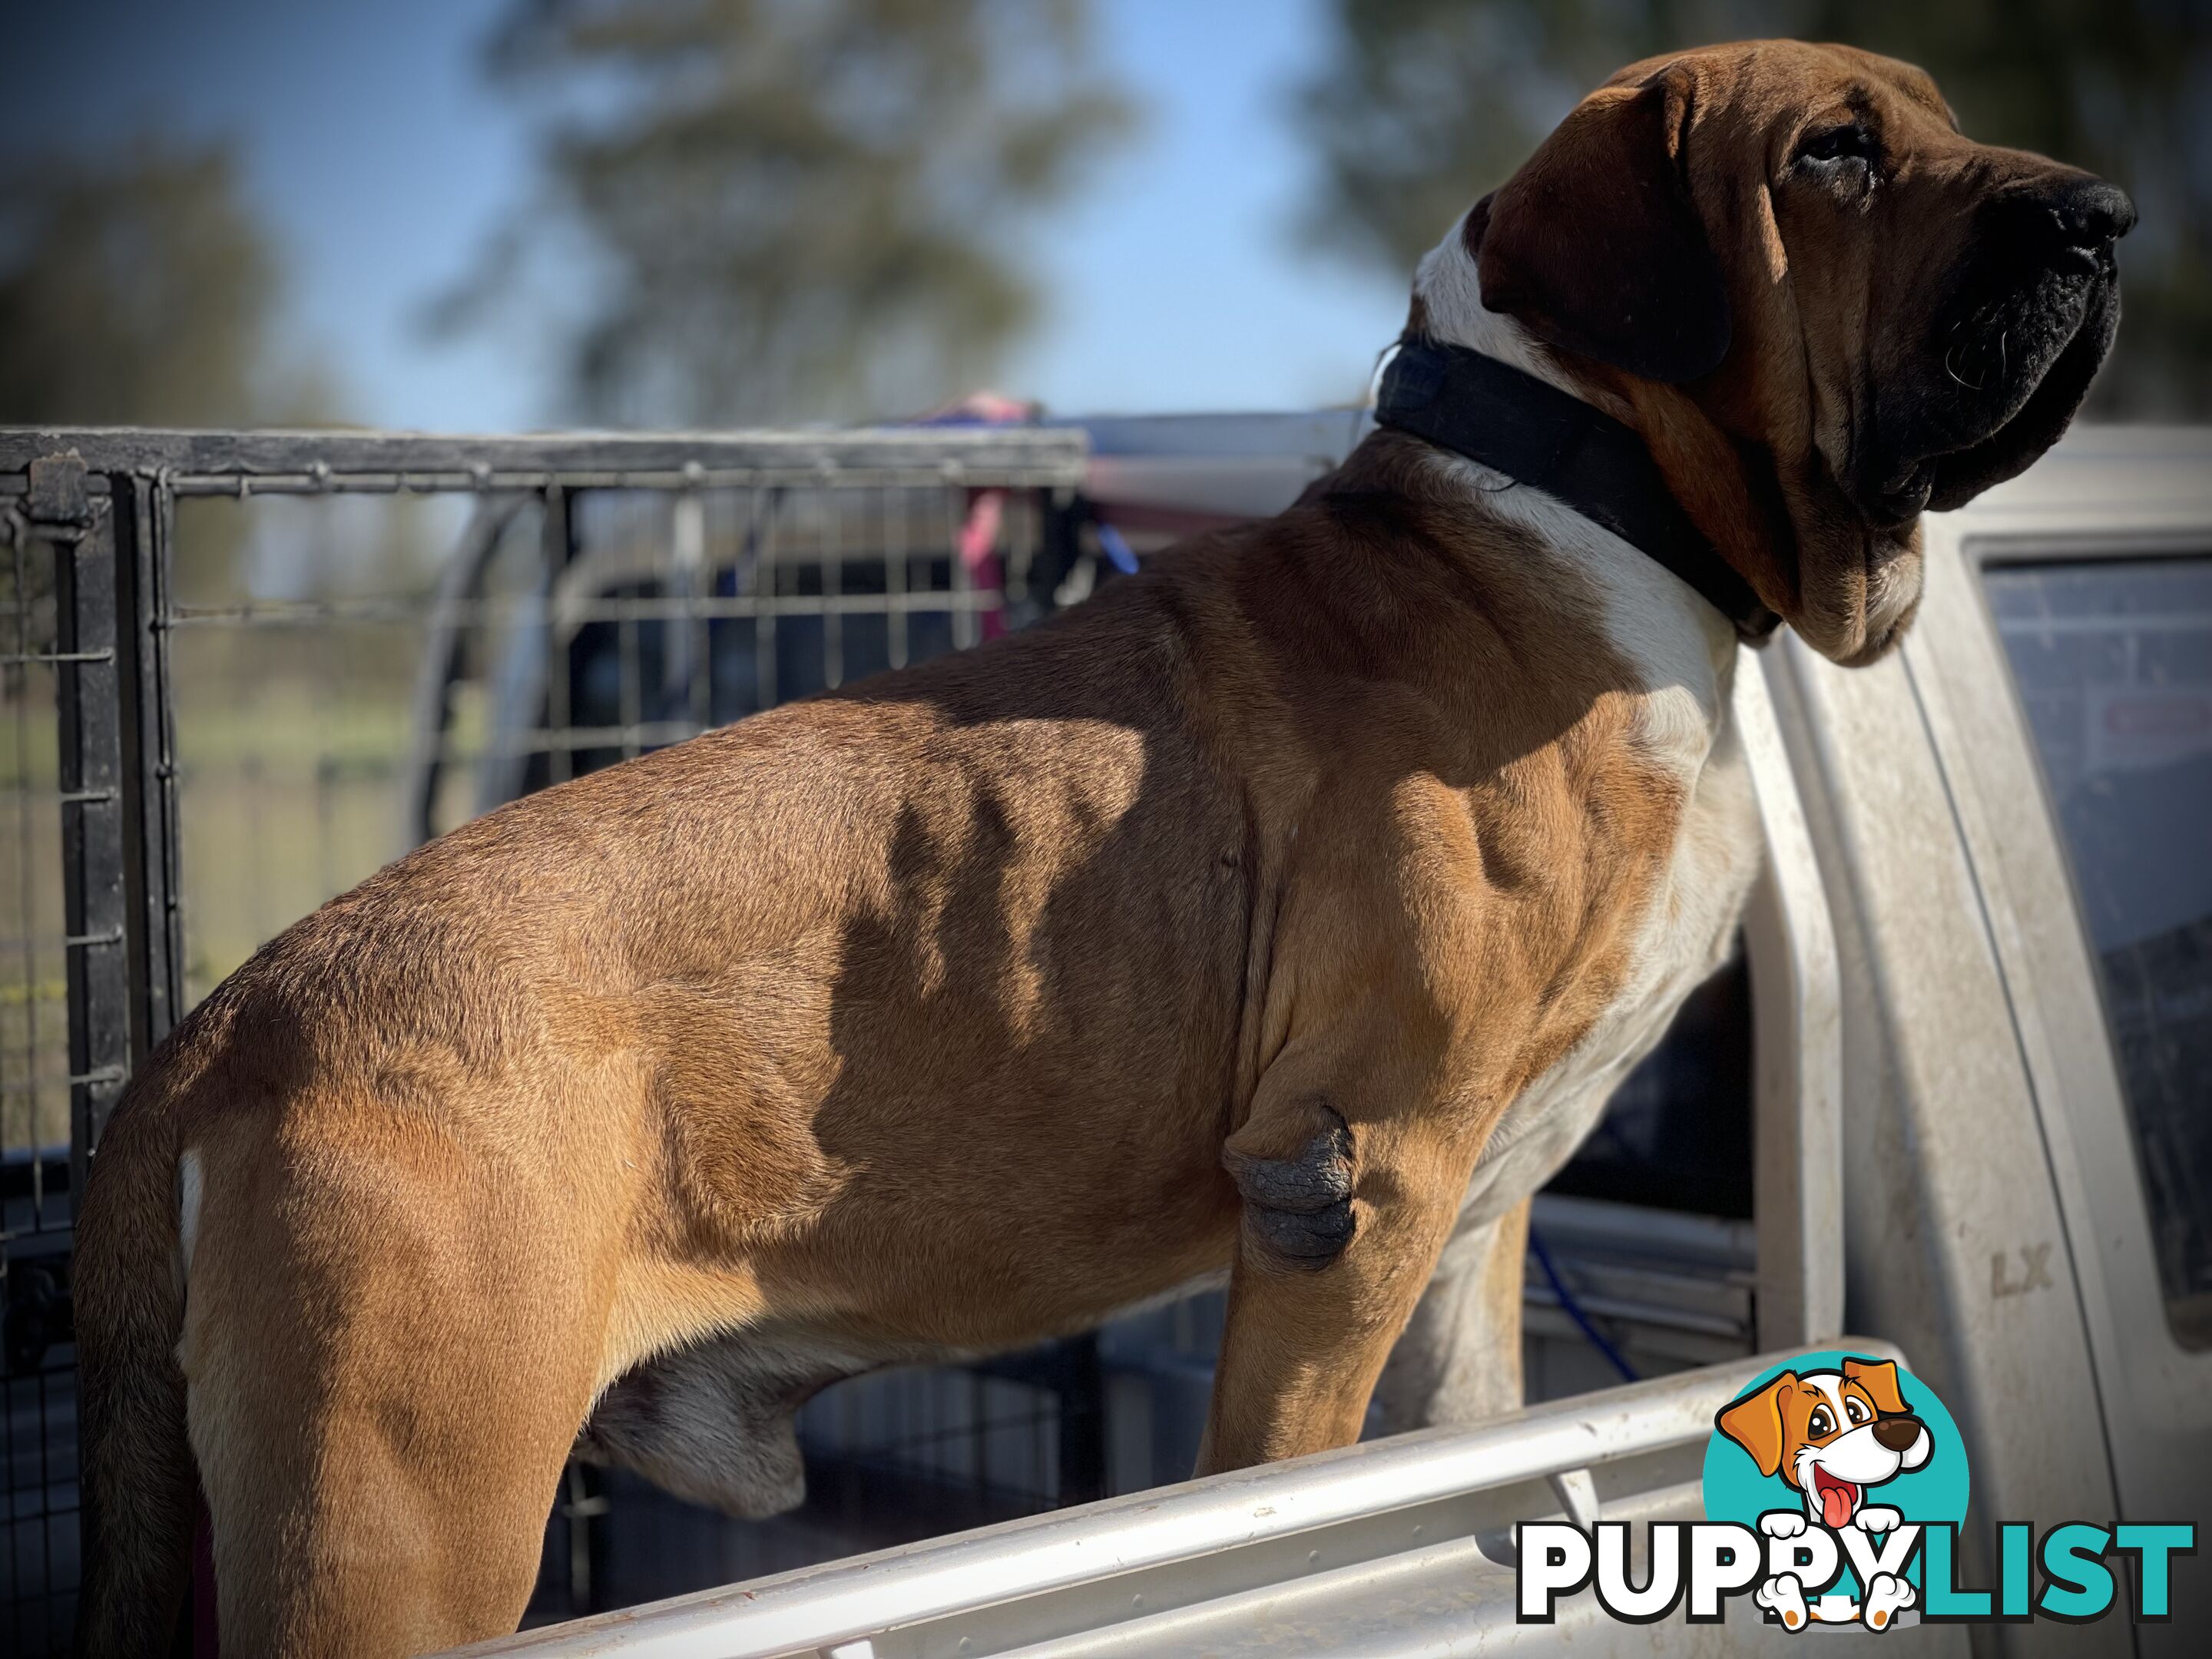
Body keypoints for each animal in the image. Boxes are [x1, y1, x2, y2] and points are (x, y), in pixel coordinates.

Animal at [78, 38, 2132, 1659]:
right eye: (1834, 154)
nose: (2106, 213)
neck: (1572, 505)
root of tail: (227, 1026)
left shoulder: (1472, 1225)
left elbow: (1463, 1412)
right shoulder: (1349, 1184)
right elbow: (1286, 1463)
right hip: (398, 1525)